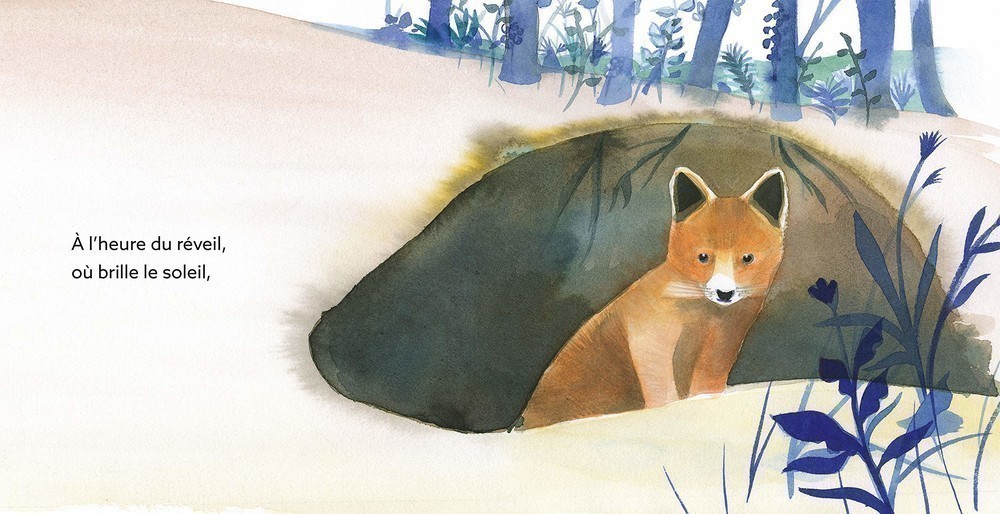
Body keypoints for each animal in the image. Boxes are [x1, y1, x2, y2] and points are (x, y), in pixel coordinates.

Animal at [521, 166, 788, 429]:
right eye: (703, 256)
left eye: (747, 258)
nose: (724, 293)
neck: (704, 318)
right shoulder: (649, 342)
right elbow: (663, 397)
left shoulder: (723, 344)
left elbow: (706, 387)